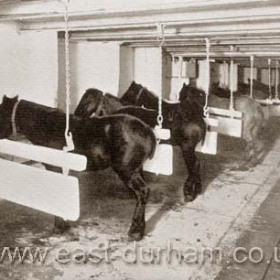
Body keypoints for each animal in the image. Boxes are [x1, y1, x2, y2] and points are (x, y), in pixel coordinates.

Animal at [0, 95, 158, 241]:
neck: (48, 126)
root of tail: (147, 130)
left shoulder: (56, 169)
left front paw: (59, 227)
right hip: (136, 170)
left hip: (127, 171)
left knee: (143, 191)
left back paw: (135, 232)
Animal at [74, 82, 206, 202]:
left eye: (87, 100)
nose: (76, 115)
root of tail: (199, 120)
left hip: (187, 147)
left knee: (194, 165)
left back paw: (189, 192)